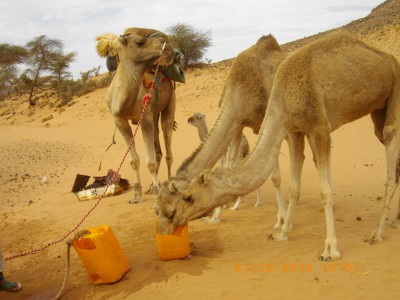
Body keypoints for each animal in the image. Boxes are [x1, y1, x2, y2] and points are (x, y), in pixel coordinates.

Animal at [102, 27, 174, 203]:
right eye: (139, 42)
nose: (166, 42)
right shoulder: (120, 121)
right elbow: (134, 160)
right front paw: (136, 195)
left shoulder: (145, 118)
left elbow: (150, 162)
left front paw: (156, 196)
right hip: (155, 115)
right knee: (159, 150)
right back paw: (151, 188)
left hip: (170, 105)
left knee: (168, 148)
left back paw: (168, 185)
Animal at [156, 34, 288, 227]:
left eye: (171, 208)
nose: (162, 222)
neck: (240, 90)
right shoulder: (237, 124)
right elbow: (229, 166)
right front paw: (216, 216)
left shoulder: (269, 120)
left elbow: (275, 176)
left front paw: (281, 221)